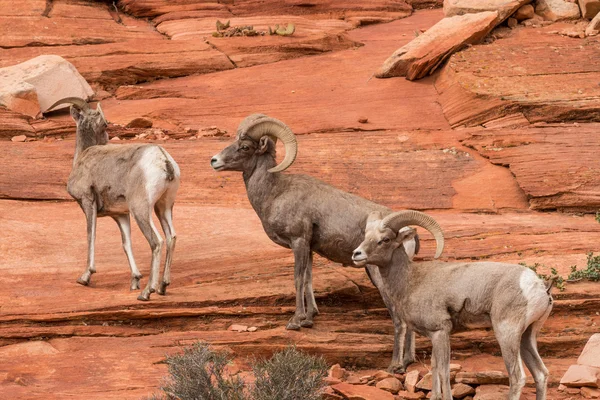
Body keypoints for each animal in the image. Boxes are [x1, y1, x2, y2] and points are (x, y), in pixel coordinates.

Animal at [47, 98, 179, 302]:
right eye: (105, 124)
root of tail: (163, 160)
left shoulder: (88, 202)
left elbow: (91, 235)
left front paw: (85, 277)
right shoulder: (120, 216)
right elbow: (126, 244)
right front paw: (134, 280)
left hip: (141, 209)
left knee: (156, 241)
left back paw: (146, 292)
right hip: (163, 207)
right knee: (171, 237)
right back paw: (162, 287)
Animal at [211, 112, 426, 372]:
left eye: (244, 147)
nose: (214, 161)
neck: (275, 193)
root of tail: (409, 233)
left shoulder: (299, 241)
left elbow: (298, 279)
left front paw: (295, 321)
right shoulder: (310, 248)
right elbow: (309, 280)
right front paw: (309, 318)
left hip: (377, 274)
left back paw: (398, 365)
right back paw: (409, 360)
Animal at [352, 209, 552, 400]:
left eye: (385, 239)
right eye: (366, 237)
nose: (356, 254)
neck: (410, 281)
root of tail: (538, 286)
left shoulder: (440, 332)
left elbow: (444, 371)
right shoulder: (435, 335)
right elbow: (434, 367)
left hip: (507, 334)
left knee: (517, 378)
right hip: (527, 335)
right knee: (541, 374)